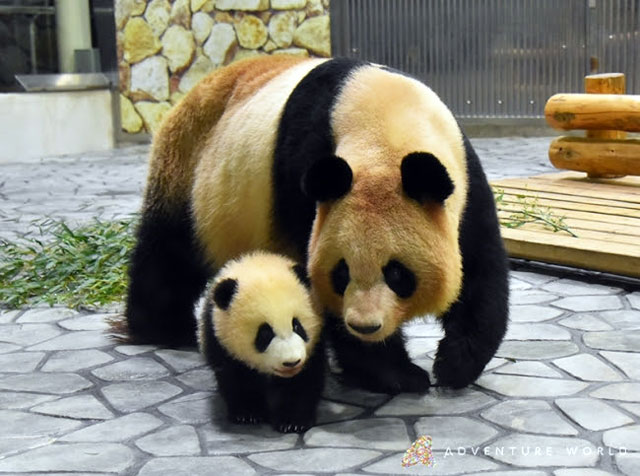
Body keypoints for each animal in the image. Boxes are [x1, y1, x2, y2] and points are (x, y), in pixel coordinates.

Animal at [122, 55, 508, 394]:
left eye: (397, 272)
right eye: (342, 272)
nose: (364, 325)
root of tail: (192, 92)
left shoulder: (464, 184)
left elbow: (480, 271)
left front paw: (454, 365)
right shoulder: (304, 179)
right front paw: (397, 374)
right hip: (189, 168)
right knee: (169, 253)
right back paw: (162, 328)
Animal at [199, 251, 324, 434]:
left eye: (296, 325)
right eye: (264, 334)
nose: (291, 362)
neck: (257, 263)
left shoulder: (315, 346)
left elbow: (303, 381)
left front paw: (292, 421)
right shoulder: (219, 338)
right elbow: (236, 377)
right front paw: (248, 413)